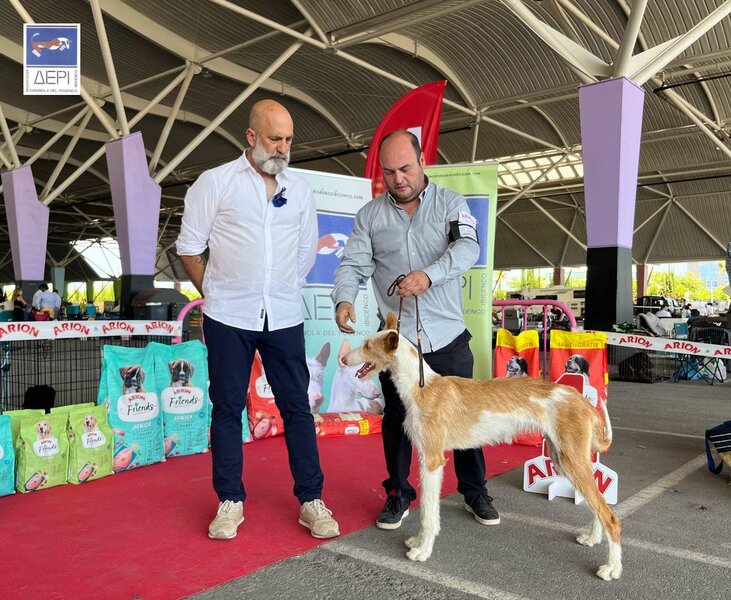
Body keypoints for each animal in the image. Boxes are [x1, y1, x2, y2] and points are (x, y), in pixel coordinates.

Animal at [342, 312, 622, 581]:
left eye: (367, 346)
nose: (343, 359)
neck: (420, 387)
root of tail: (582, 401)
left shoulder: (432, 461)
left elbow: (428, 511)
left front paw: (423, 550)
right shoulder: (426, 458)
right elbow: (425, 509)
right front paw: (419, 543)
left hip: (572, 460)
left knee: (610, 516)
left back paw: (612, 568)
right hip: (564, 460)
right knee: (598, 505)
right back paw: (593, 538)